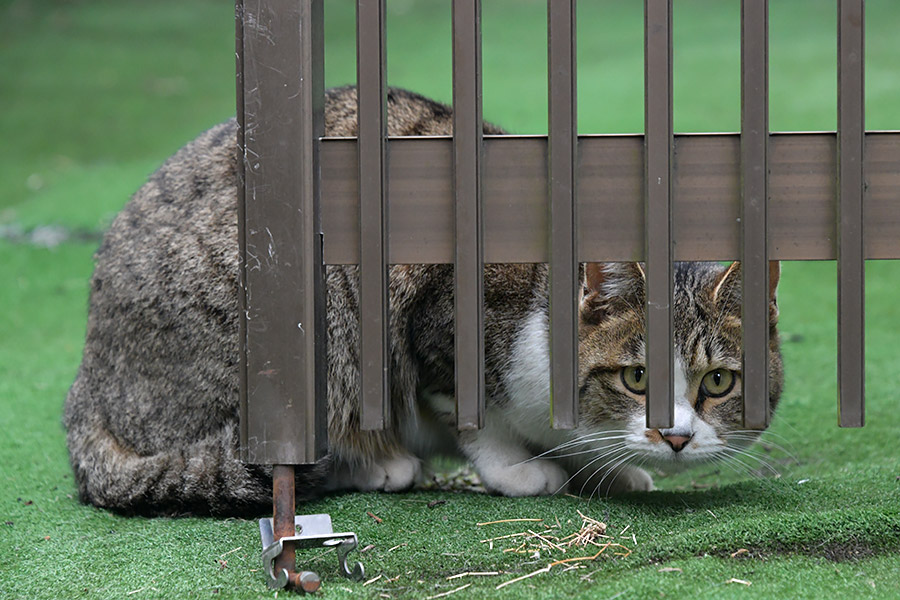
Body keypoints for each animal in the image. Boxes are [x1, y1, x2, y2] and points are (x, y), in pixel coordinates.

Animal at [61, 84, 780, 516]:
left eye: (718, 382)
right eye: (635, 378)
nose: (676, 437)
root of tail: (85, 387)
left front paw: (607, 470)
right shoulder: (437, 327)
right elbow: (475, 418)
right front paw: (521, 471)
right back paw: (380, 464)